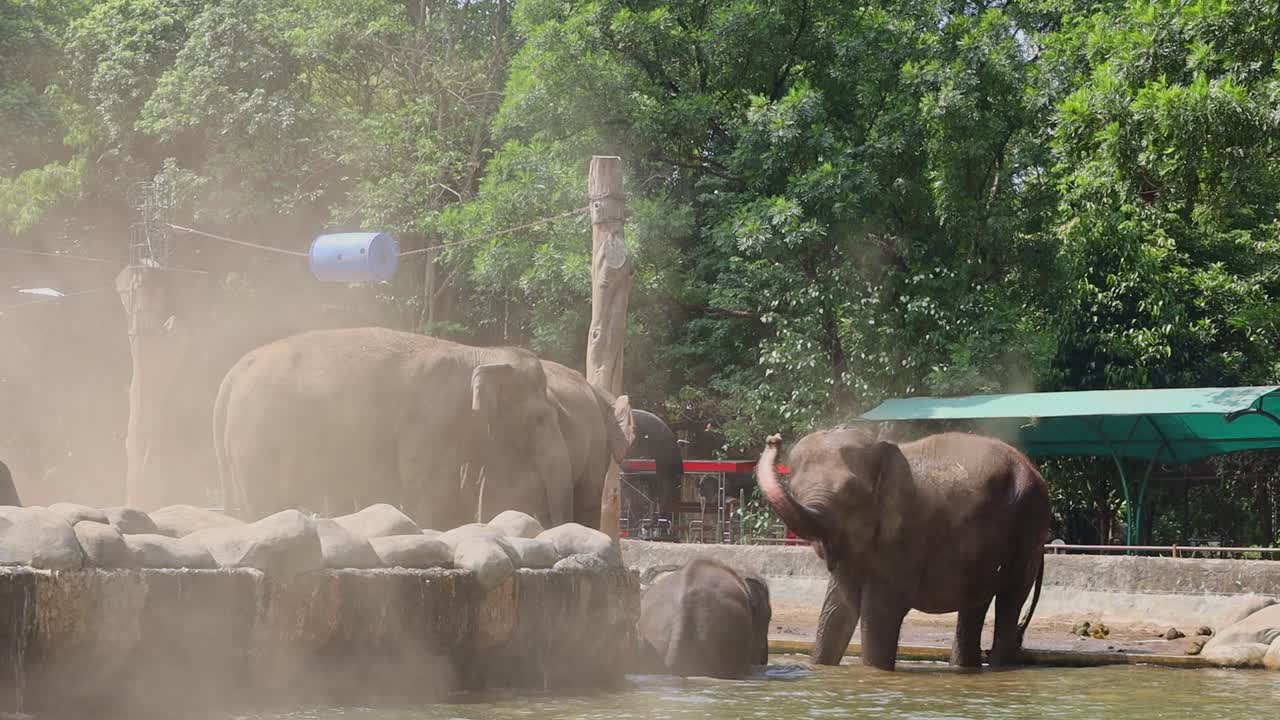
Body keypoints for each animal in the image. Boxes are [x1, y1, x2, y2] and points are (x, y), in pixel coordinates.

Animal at [214, 326, 573, 530]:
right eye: (541, 418)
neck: (480, 354)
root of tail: (232, 373)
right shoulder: (430, 420)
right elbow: (427, 494)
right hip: (258, 437)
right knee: (266, 503)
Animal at [756, 427, 1050, 671]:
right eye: (794, 490)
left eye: (850, 491)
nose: (774, 439)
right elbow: (836, 610)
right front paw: (821, 669)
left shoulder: (905, 535)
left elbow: (879, 611)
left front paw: (874, 673)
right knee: (975, 607)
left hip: (1028, 525)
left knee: (1009, 600)